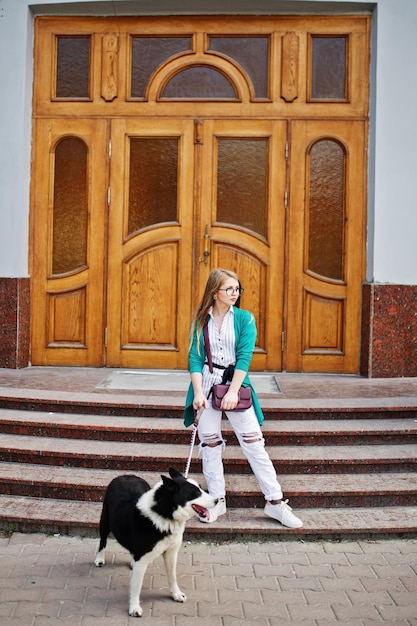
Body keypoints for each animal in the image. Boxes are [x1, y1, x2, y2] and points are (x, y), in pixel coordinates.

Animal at [94, 468, 214, 616]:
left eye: (201, 488)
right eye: (196, 493)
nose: (218, 500)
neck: (165, 515)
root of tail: (126, 475)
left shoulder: (171, 552)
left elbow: (172, 576)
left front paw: (176, 594)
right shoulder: (142, 559)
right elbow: (136, 586)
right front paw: (134, 607)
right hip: (105, 520)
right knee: (103, 540)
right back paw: (100, 558)